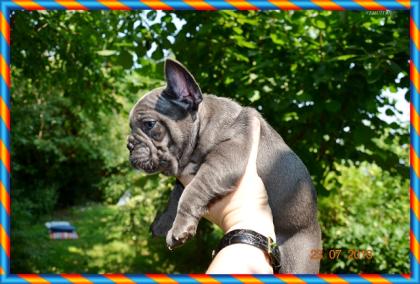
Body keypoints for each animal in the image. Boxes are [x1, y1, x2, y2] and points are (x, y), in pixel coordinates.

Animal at [128, 59, 322, 272]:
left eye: (149, 124)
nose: (129, 145)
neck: (204, 124)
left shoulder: (224, 161)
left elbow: (191, 192)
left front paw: (180, 228)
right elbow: (175, 197)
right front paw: (163, 223)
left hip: (298, 259)